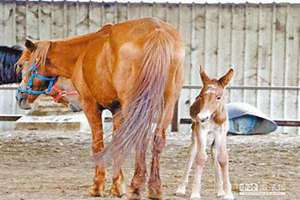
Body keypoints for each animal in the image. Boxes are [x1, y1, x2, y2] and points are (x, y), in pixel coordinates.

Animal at [176, 66, 234, 199]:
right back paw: (181, 189)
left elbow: (223, 158)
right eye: (201, 96)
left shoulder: (221, 131)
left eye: (218, 97)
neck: (213, 116)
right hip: (194, 131)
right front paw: (195, 193)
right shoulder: (201, 129)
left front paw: (228, 193)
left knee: (214, 151)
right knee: (192, 153)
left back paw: (220, 191)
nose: (202, 117)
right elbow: (201, 157)